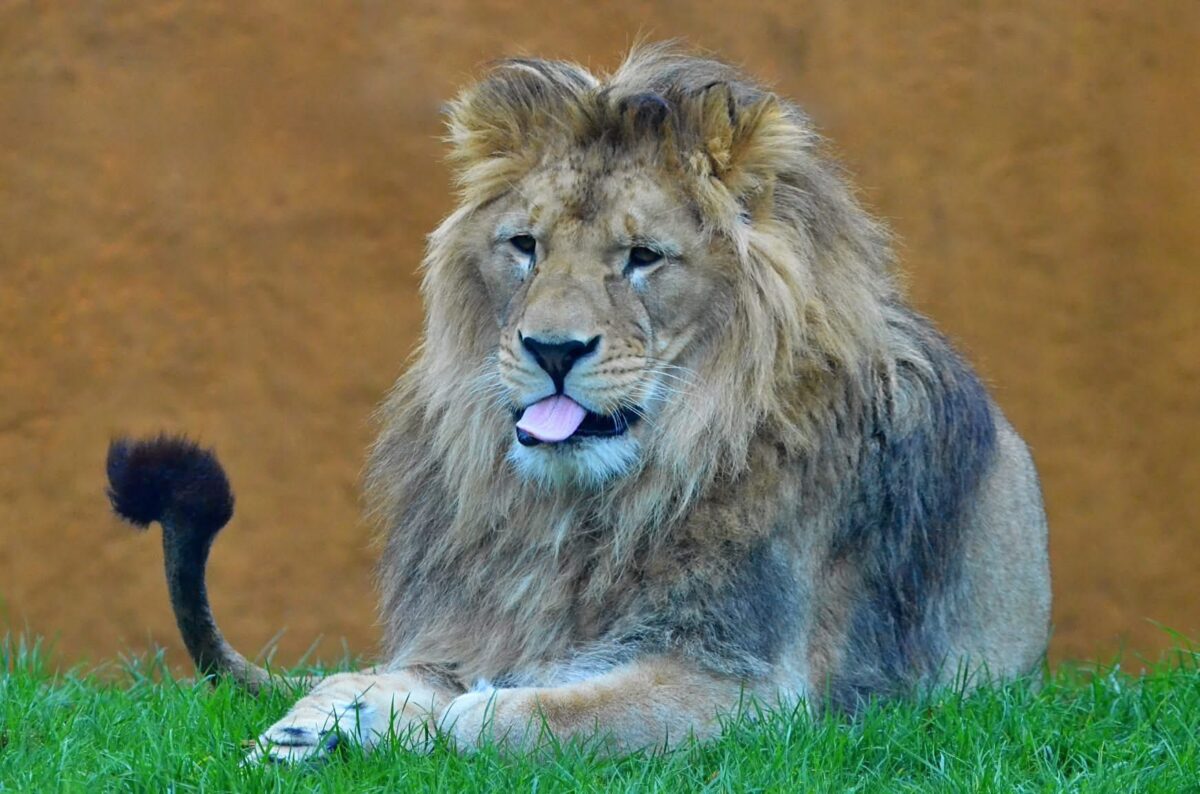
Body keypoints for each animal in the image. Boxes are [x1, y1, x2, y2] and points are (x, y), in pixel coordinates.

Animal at [105, 44, 1051, 762]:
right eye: (525, 246)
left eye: (643, 257)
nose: (552, 350)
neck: (581, 510)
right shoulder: (472, 625)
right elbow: (374, 678)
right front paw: (315, 727)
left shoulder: (758, 689)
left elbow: (533, 717)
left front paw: (456, 717)